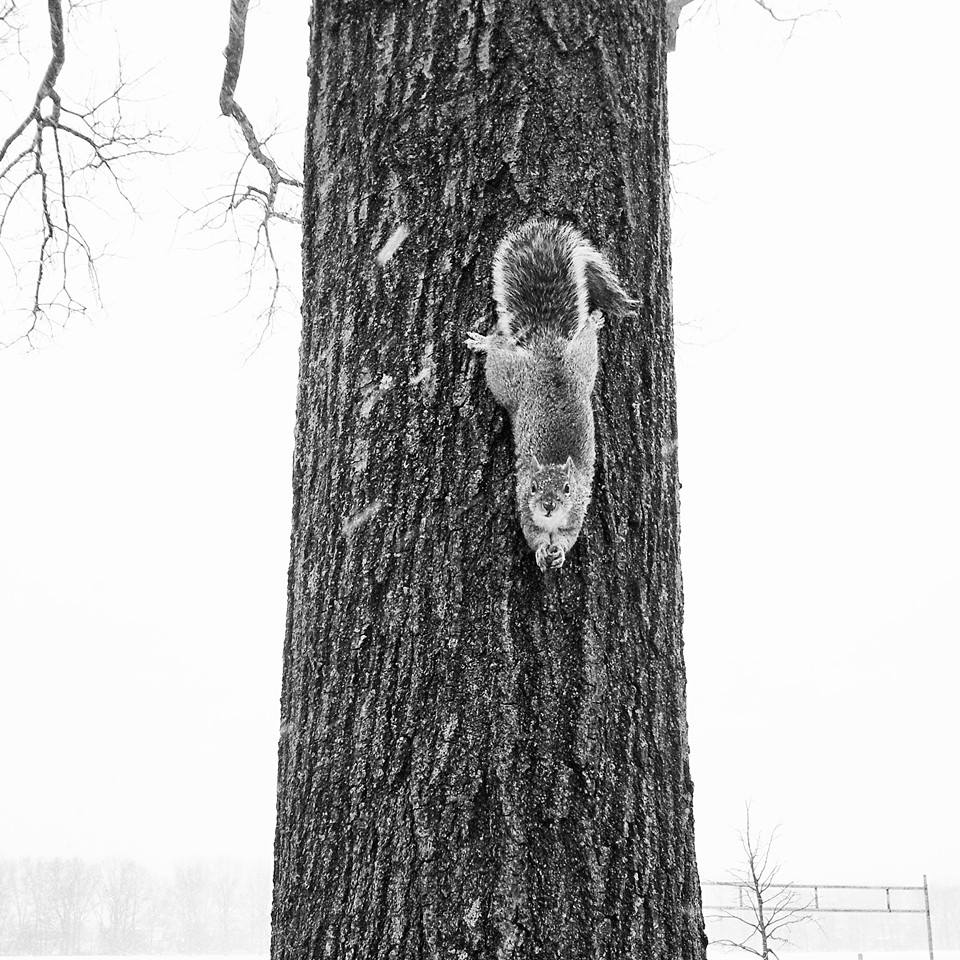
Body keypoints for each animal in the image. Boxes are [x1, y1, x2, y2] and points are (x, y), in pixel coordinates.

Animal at [466, 219, 634, 571]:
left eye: (567, 488)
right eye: (532, 487)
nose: (548, 505)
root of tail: (548, 354)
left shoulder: (578, 508)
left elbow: (569, 535)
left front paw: (560, 552)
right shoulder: (523, 506)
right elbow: (532, 534)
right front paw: (544, 550)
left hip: (583, 364)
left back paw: (593, 322)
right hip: (508, 380)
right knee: (498, 350)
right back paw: (485, 342)